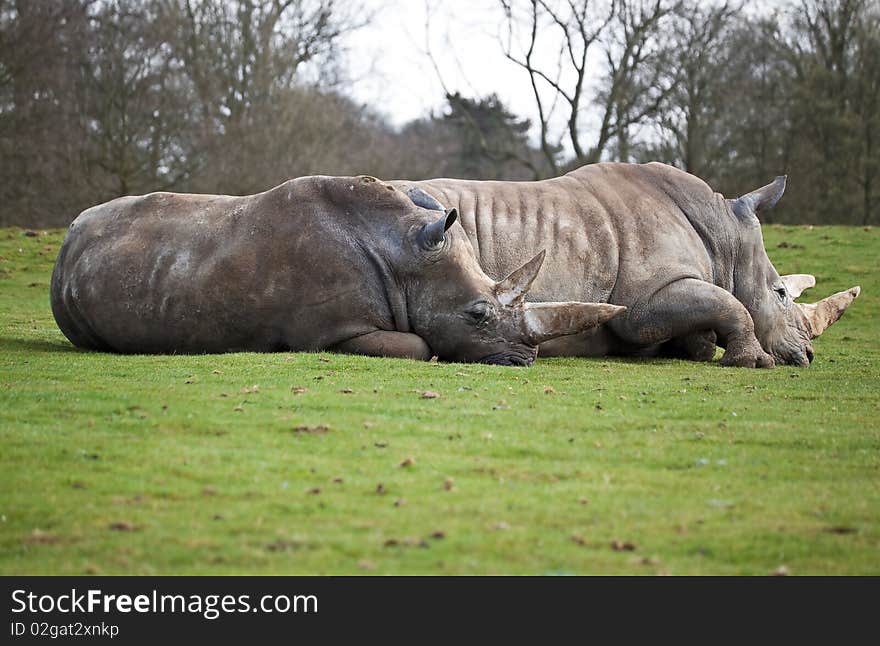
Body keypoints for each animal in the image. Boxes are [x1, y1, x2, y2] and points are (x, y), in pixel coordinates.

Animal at [49, 173, 624, 364]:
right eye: (478, 314)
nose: (526, 360)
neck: (405, 255)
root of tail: (69, 238)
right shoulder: (331, 330)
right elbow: (418, 345)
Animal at [396, 162, 864, 370]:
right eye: (781, 294)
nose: (807, 355)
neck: (726, 239)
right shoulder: (644, 302)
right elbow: (731, 304)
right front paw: (753, 362)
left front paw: (695, 347)